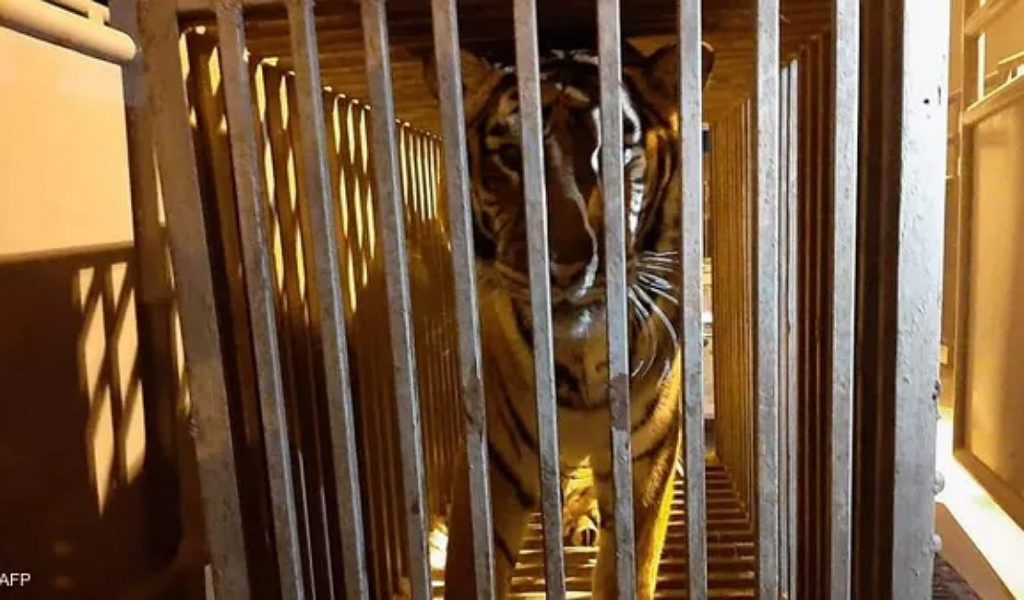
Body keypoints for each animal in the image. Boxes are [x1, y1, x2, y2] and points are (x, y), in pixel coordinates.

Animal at [424, 40, 714, 599]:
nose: (563, 263)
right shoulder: (495, 466)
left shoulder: (645, 464)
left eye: (615, 151)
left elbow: (628, 571)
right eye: (512, 156)